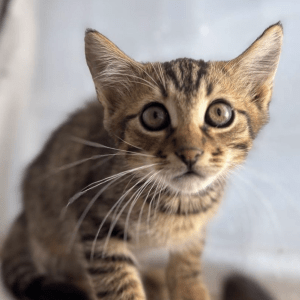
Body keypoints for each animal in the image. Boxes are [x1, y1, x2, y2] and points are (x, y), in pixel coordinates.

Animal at [0, 22, 282, 300]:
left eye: (219, 113)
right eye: (154, 116)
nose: (190, 153)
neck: (179, 205)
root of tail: (23, 218)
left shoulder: (194, 233)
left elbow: (187, 267)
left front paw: (189, 288)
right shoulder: (94, 222)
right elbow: (118, 284)